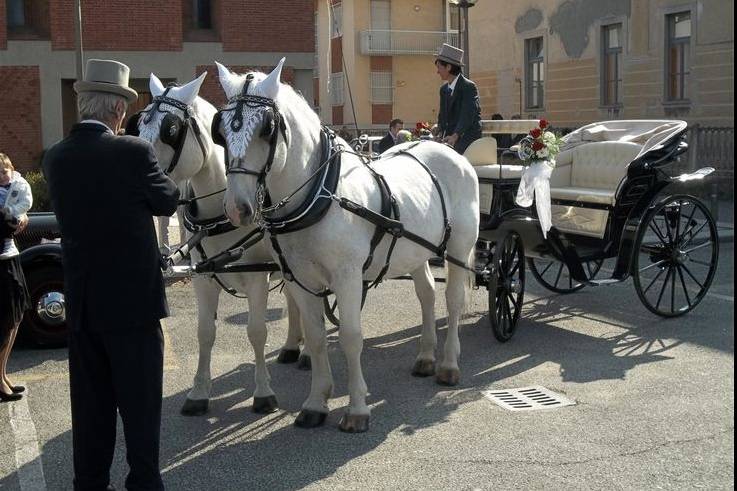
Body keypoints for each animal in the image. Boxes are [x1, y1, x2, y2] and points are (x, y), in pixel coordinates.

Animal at [132, 73, 308, 418]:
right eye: (141, 123)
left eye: (170, 130)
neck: (217, 217)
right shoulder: (202, 277)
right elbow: (205, 333)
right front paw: (199, 393)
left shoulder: (256, 277)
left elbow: (256, 331)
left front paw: (263, 393)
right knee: (296, 300)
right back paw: (293, 346)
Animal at [216, 59, 480, 432]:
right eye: (221, 131)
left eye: (267, 129)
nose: (237, 208)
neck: (320, 195)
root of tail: (449, 151)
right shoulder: (302, 281)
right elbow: (315, 337)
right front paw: (316, 402)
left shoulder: (347, 277)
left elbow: (351, 337)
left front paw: (357, 409)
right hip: (416, 252)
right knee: (427, 295)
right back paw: (426, 356)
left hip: (458, 249)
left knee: (452, 301)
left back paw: (448, 365)